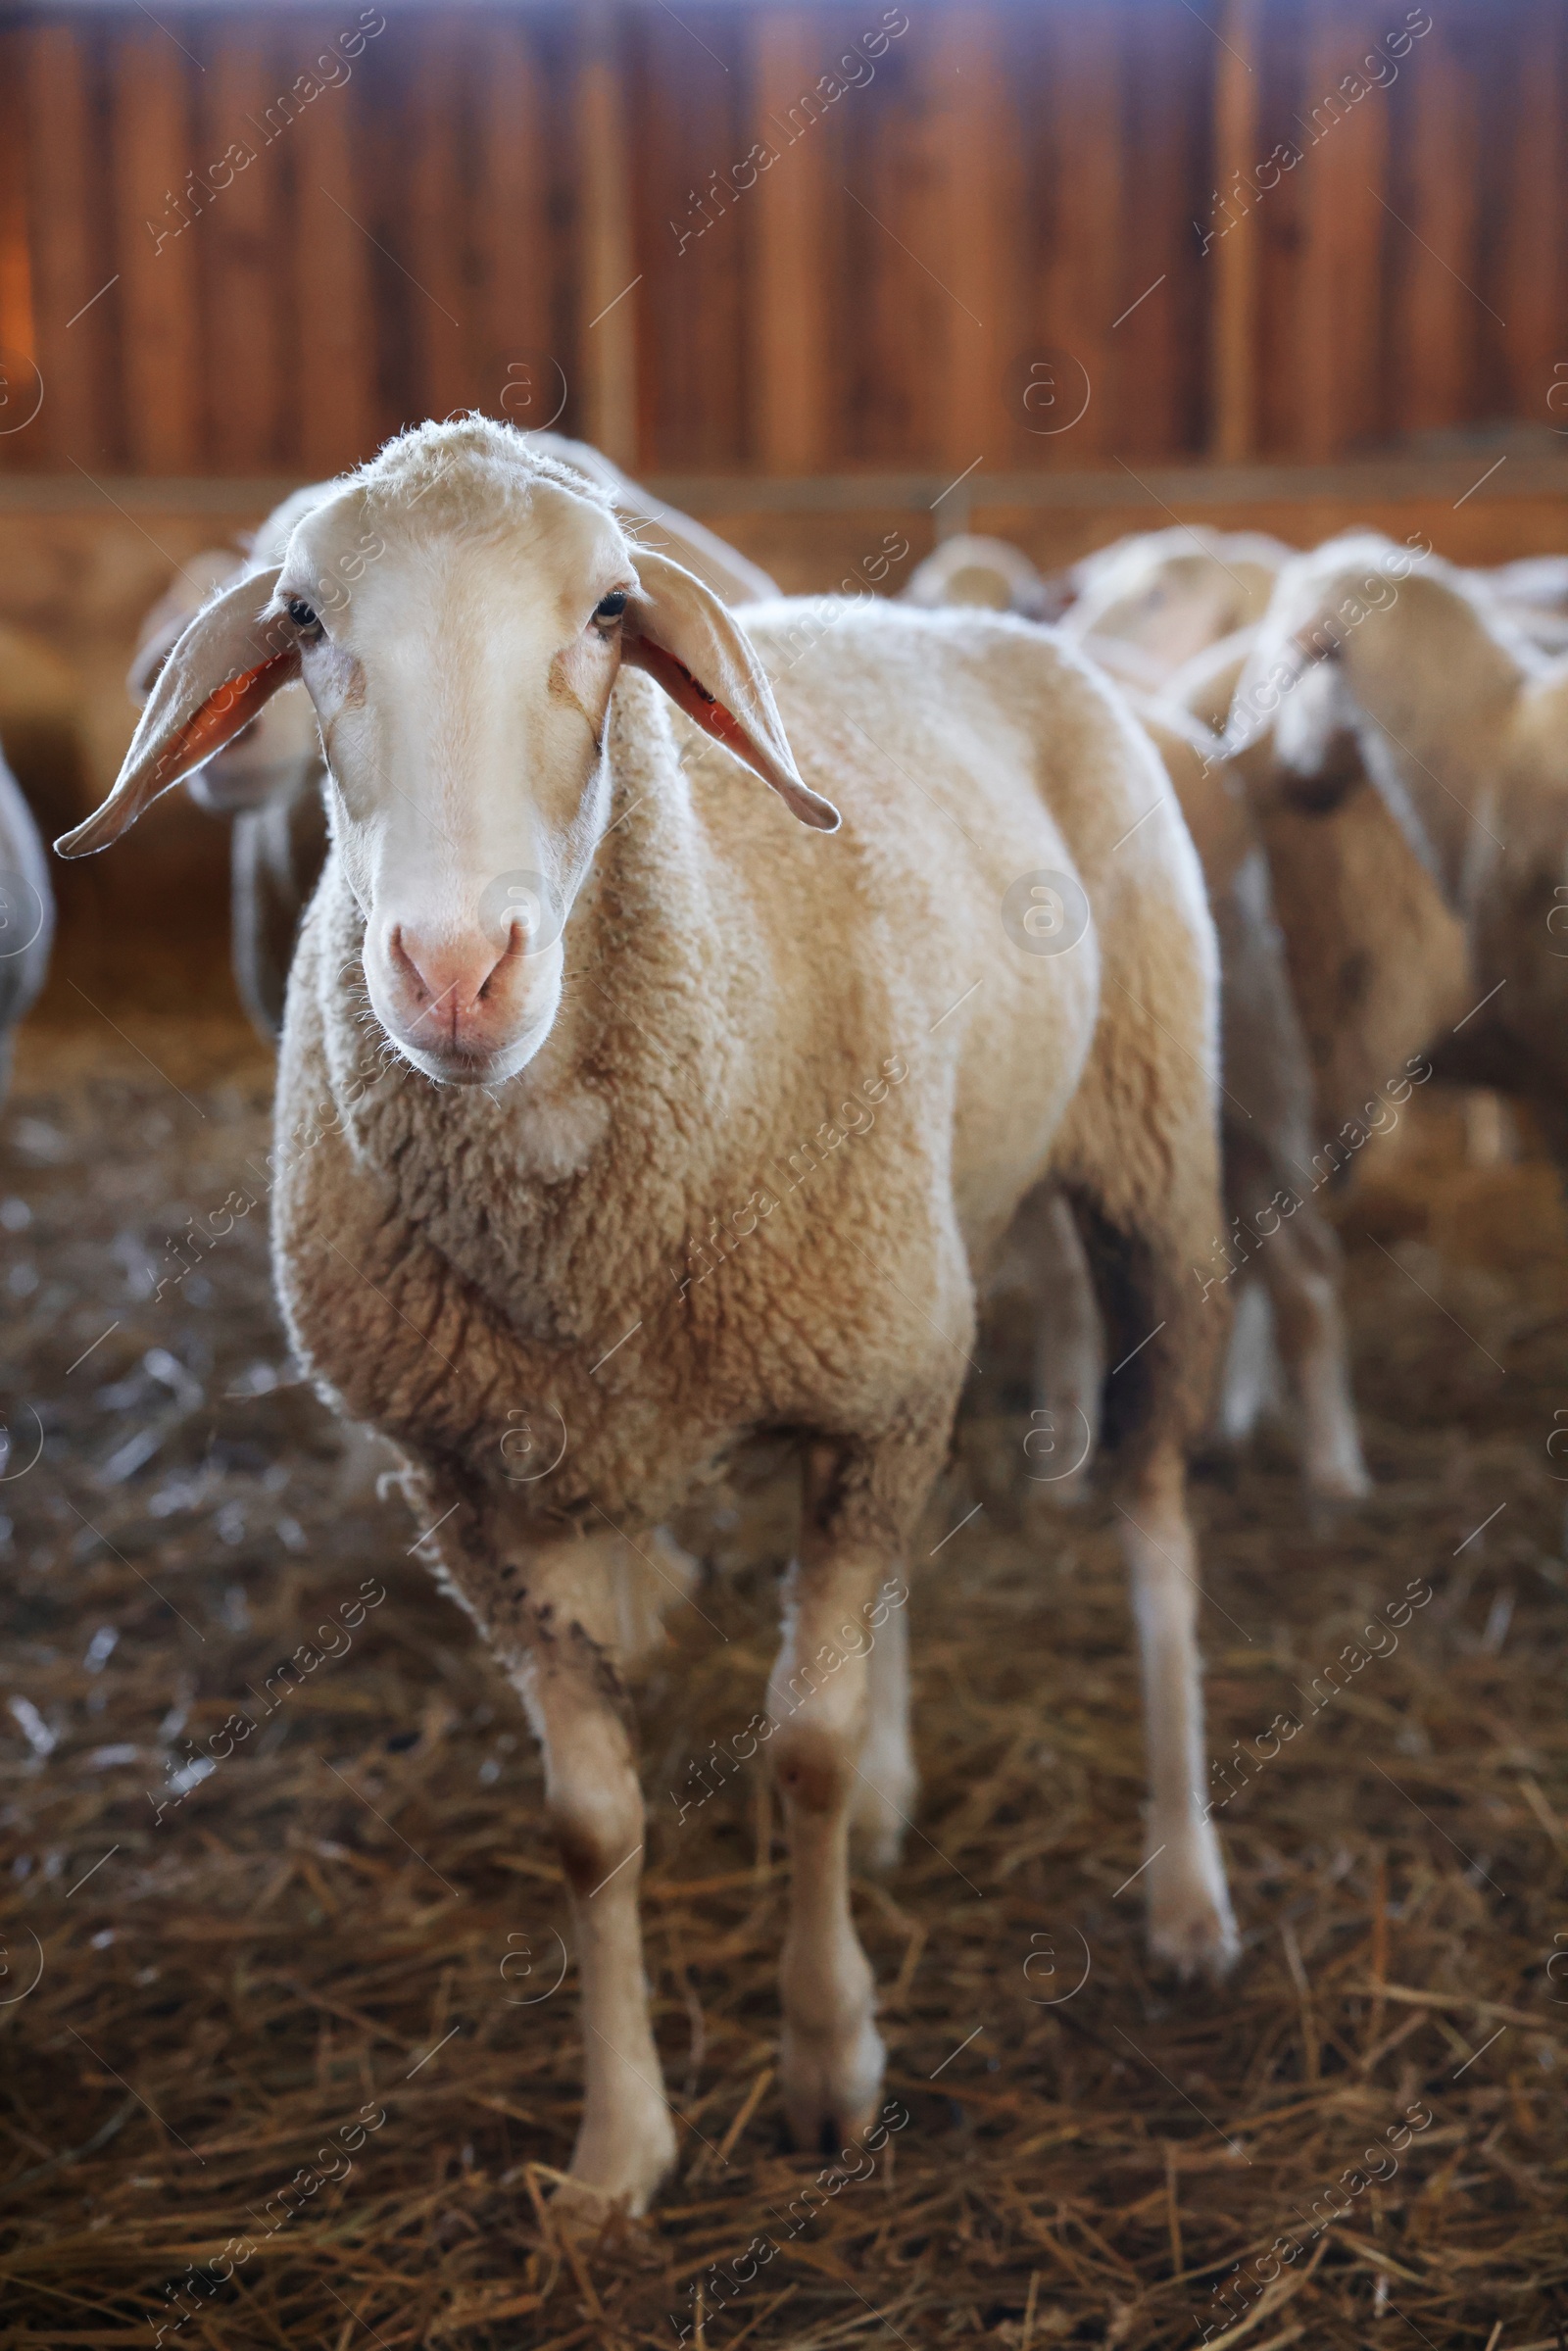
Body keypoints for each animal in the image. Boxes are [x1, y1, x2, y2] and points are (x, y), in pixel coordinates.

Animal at [58, 418, 1241, 2219]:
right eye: (305, 620)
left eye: (611, 611)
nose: (453, 970)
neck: (580, 1226)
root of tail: (981, 620)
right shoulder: (478, 1486)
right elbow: (590, 1821)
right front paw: (618, 2151)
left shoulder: (854, 1379)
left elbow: (802, 1746)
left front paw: (829, 2057)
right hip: (926, 1266)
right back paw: (909, 1796)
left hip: (1144, 1161)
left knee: (1157, 1525)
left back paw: (1185, 1886)